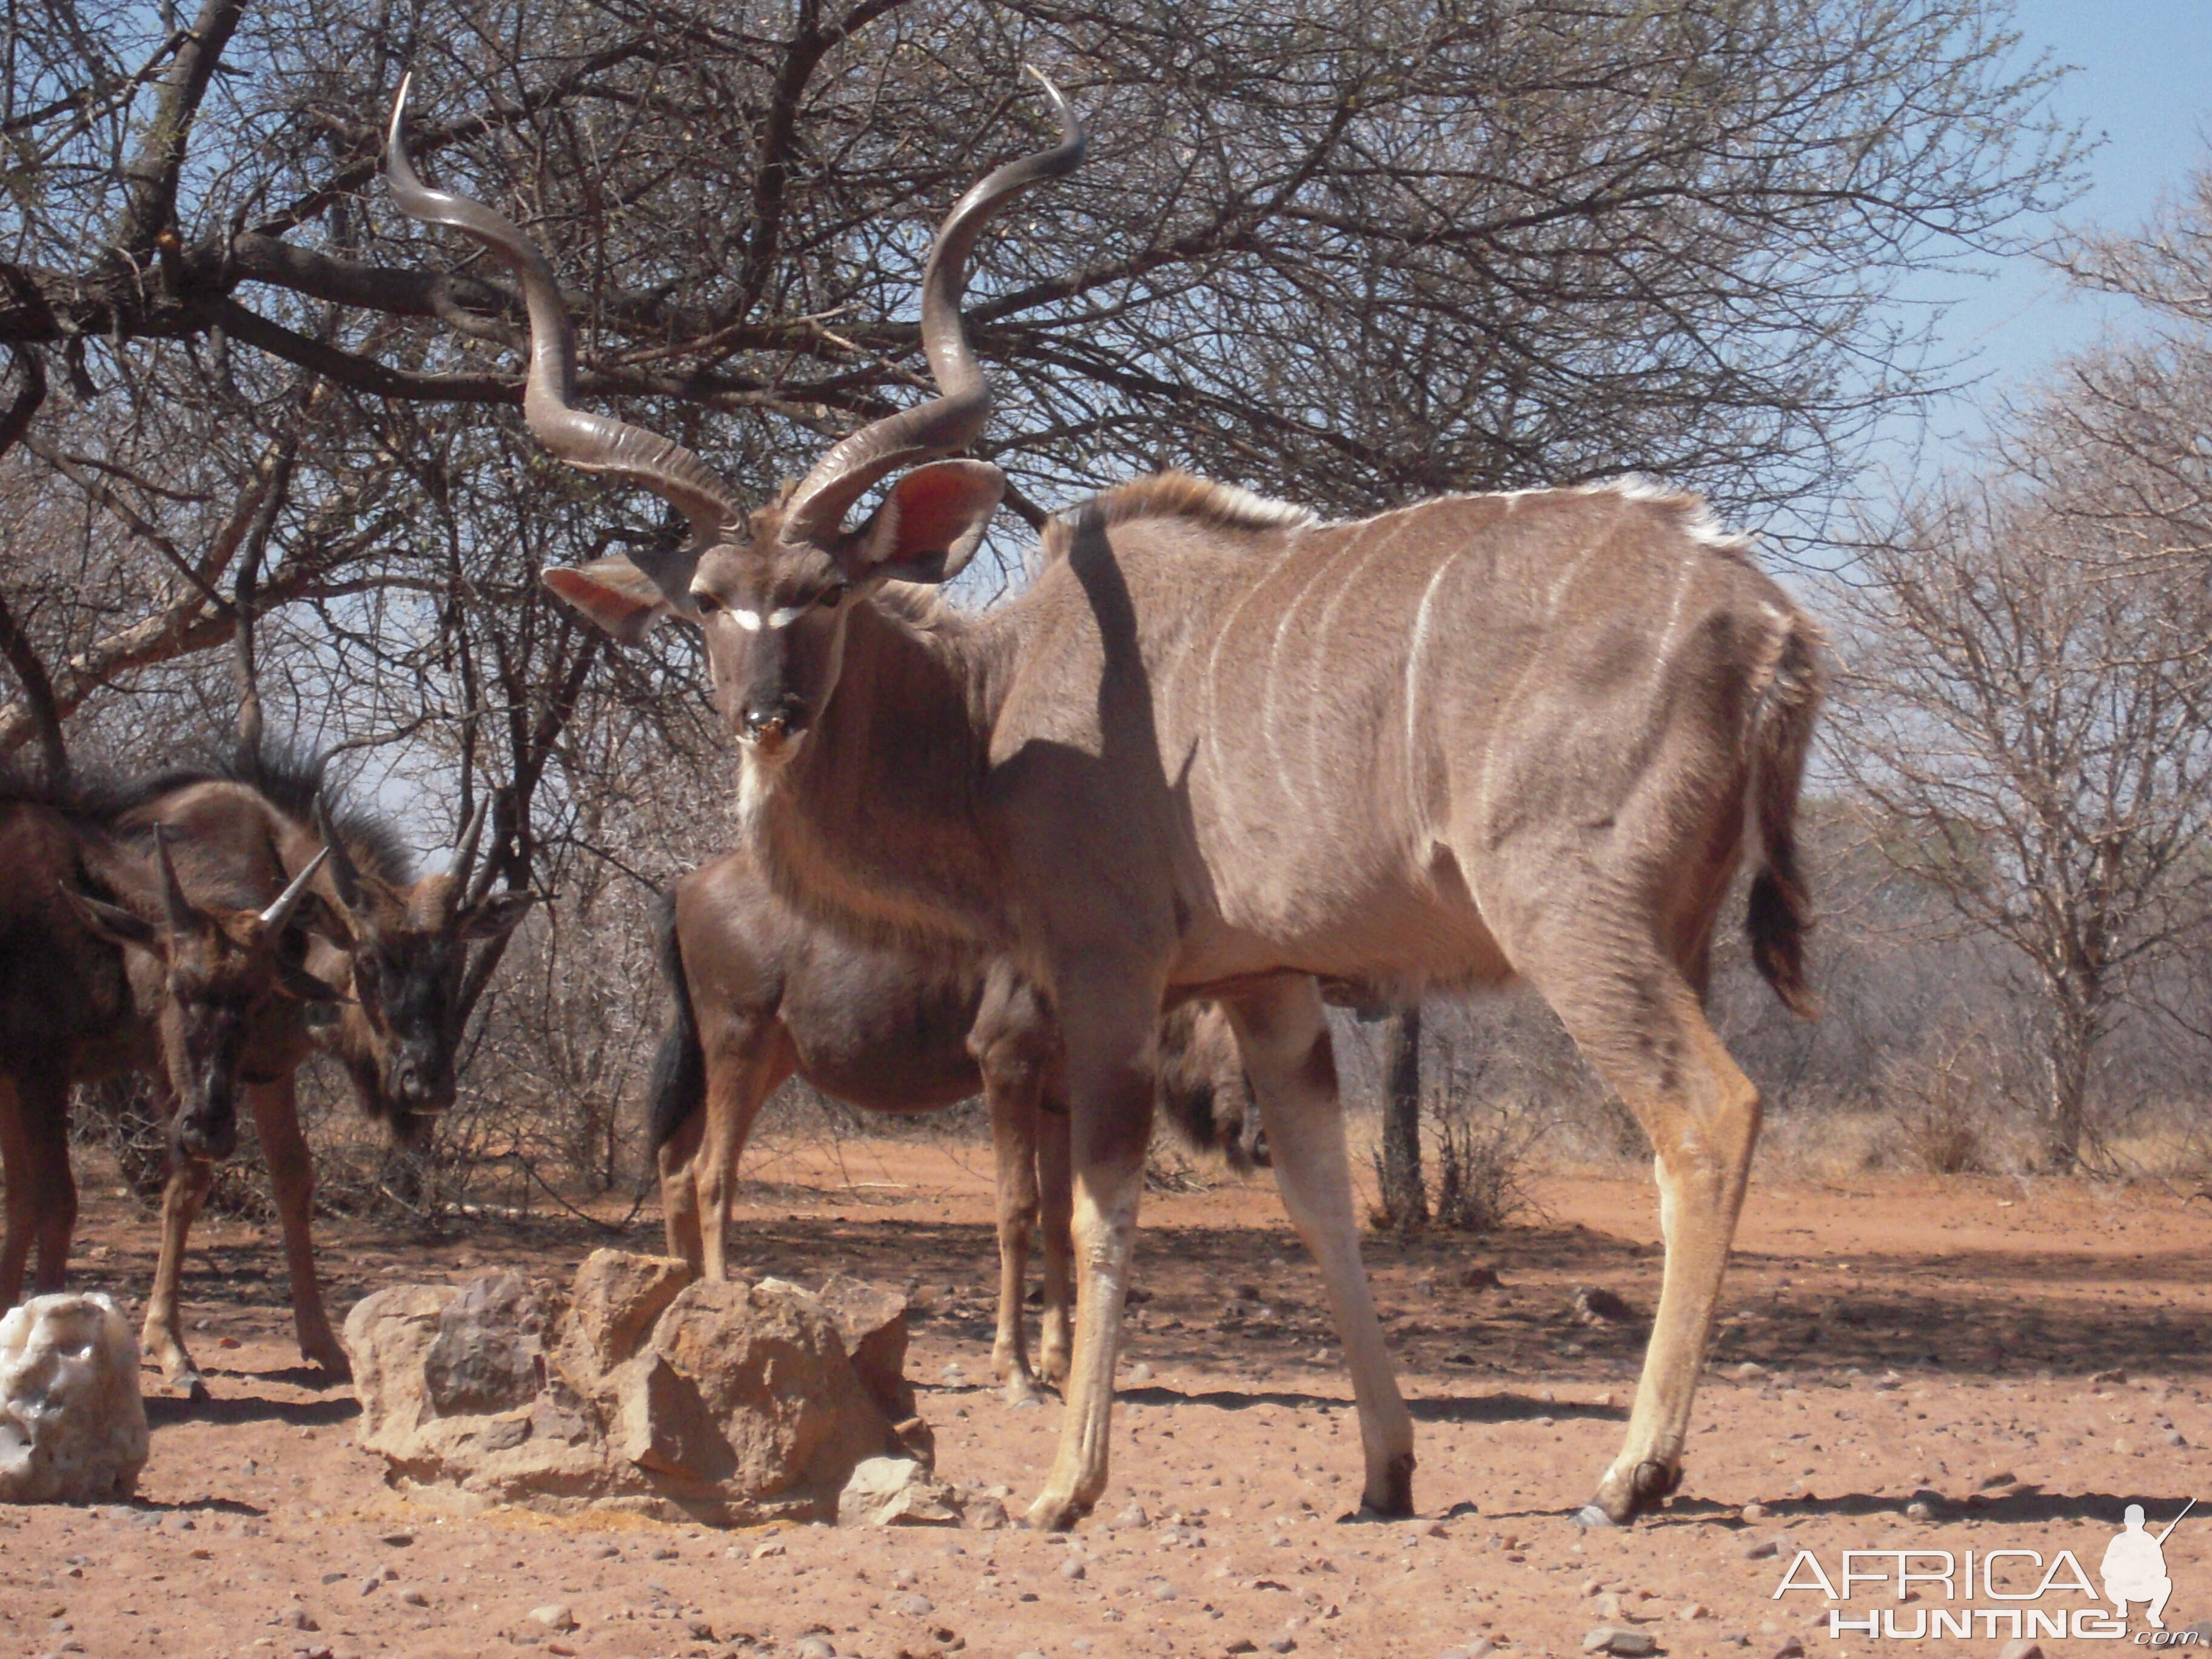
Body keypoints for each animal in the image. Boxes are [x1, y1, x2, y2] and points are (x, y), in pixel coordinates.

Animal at [650, 845, 1265, 1407]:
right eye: (1244, 1032)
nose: (1261, 1142)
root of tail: (686, 888)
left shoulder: (1058, 1095)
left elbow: (1060, 1217)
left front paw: (1060, 1366)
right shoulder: (1007, 1062)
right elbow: (1017, 1208)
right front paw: (1016, 1372)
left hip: (758, 1058)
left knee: (675, 1162)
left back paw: (679, 1297)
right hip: (740, 1043)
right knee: (711, 1170)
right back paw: (721, 1301)